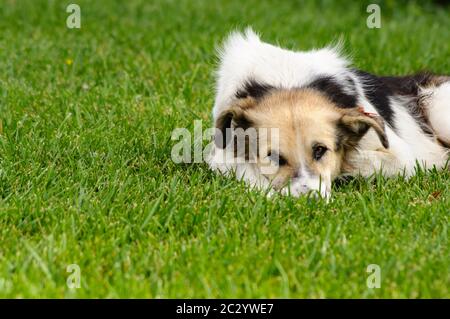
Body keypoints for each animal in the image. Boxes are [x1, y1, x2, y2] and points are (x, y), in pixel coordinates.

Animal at [207, 29, 446, 200]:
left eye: (320, 150)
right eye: (274, 157)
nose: (309, 200)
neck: (288, 81)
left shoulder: (401, 157)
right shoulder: (221, 153)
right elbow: (242, 165)